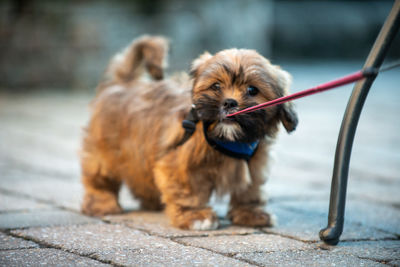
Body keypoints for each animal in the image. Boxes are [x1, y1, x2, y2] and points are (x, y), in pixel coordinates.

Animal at [80, 35, 296, 231]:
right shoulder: (180, 163)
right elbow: (189, 191)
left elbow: (250, 190)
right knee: (99, 179)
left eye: (252, 90)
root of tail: (122, 83)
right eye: (216, 86)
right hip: (106, 151)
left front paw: (251, 213)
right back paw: (102, 204)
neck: (226, 139)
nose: (229, 102)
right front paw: (196, 216)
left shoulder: (255, 163)